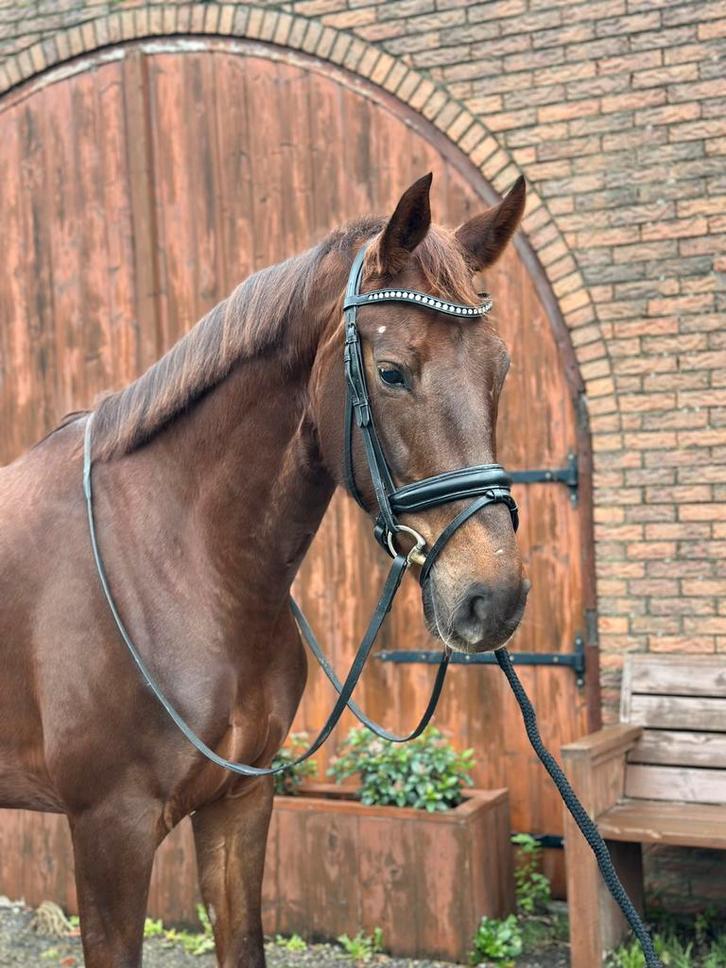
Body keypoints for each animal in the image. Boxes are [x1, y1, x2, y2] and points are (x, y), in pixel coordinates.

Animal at [0, 172, 529, 967]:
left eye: (501, 369)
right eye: (392, 372)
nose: (491, 598)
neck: (183, 566)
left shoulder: (238, 804)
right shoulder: (109, 829)